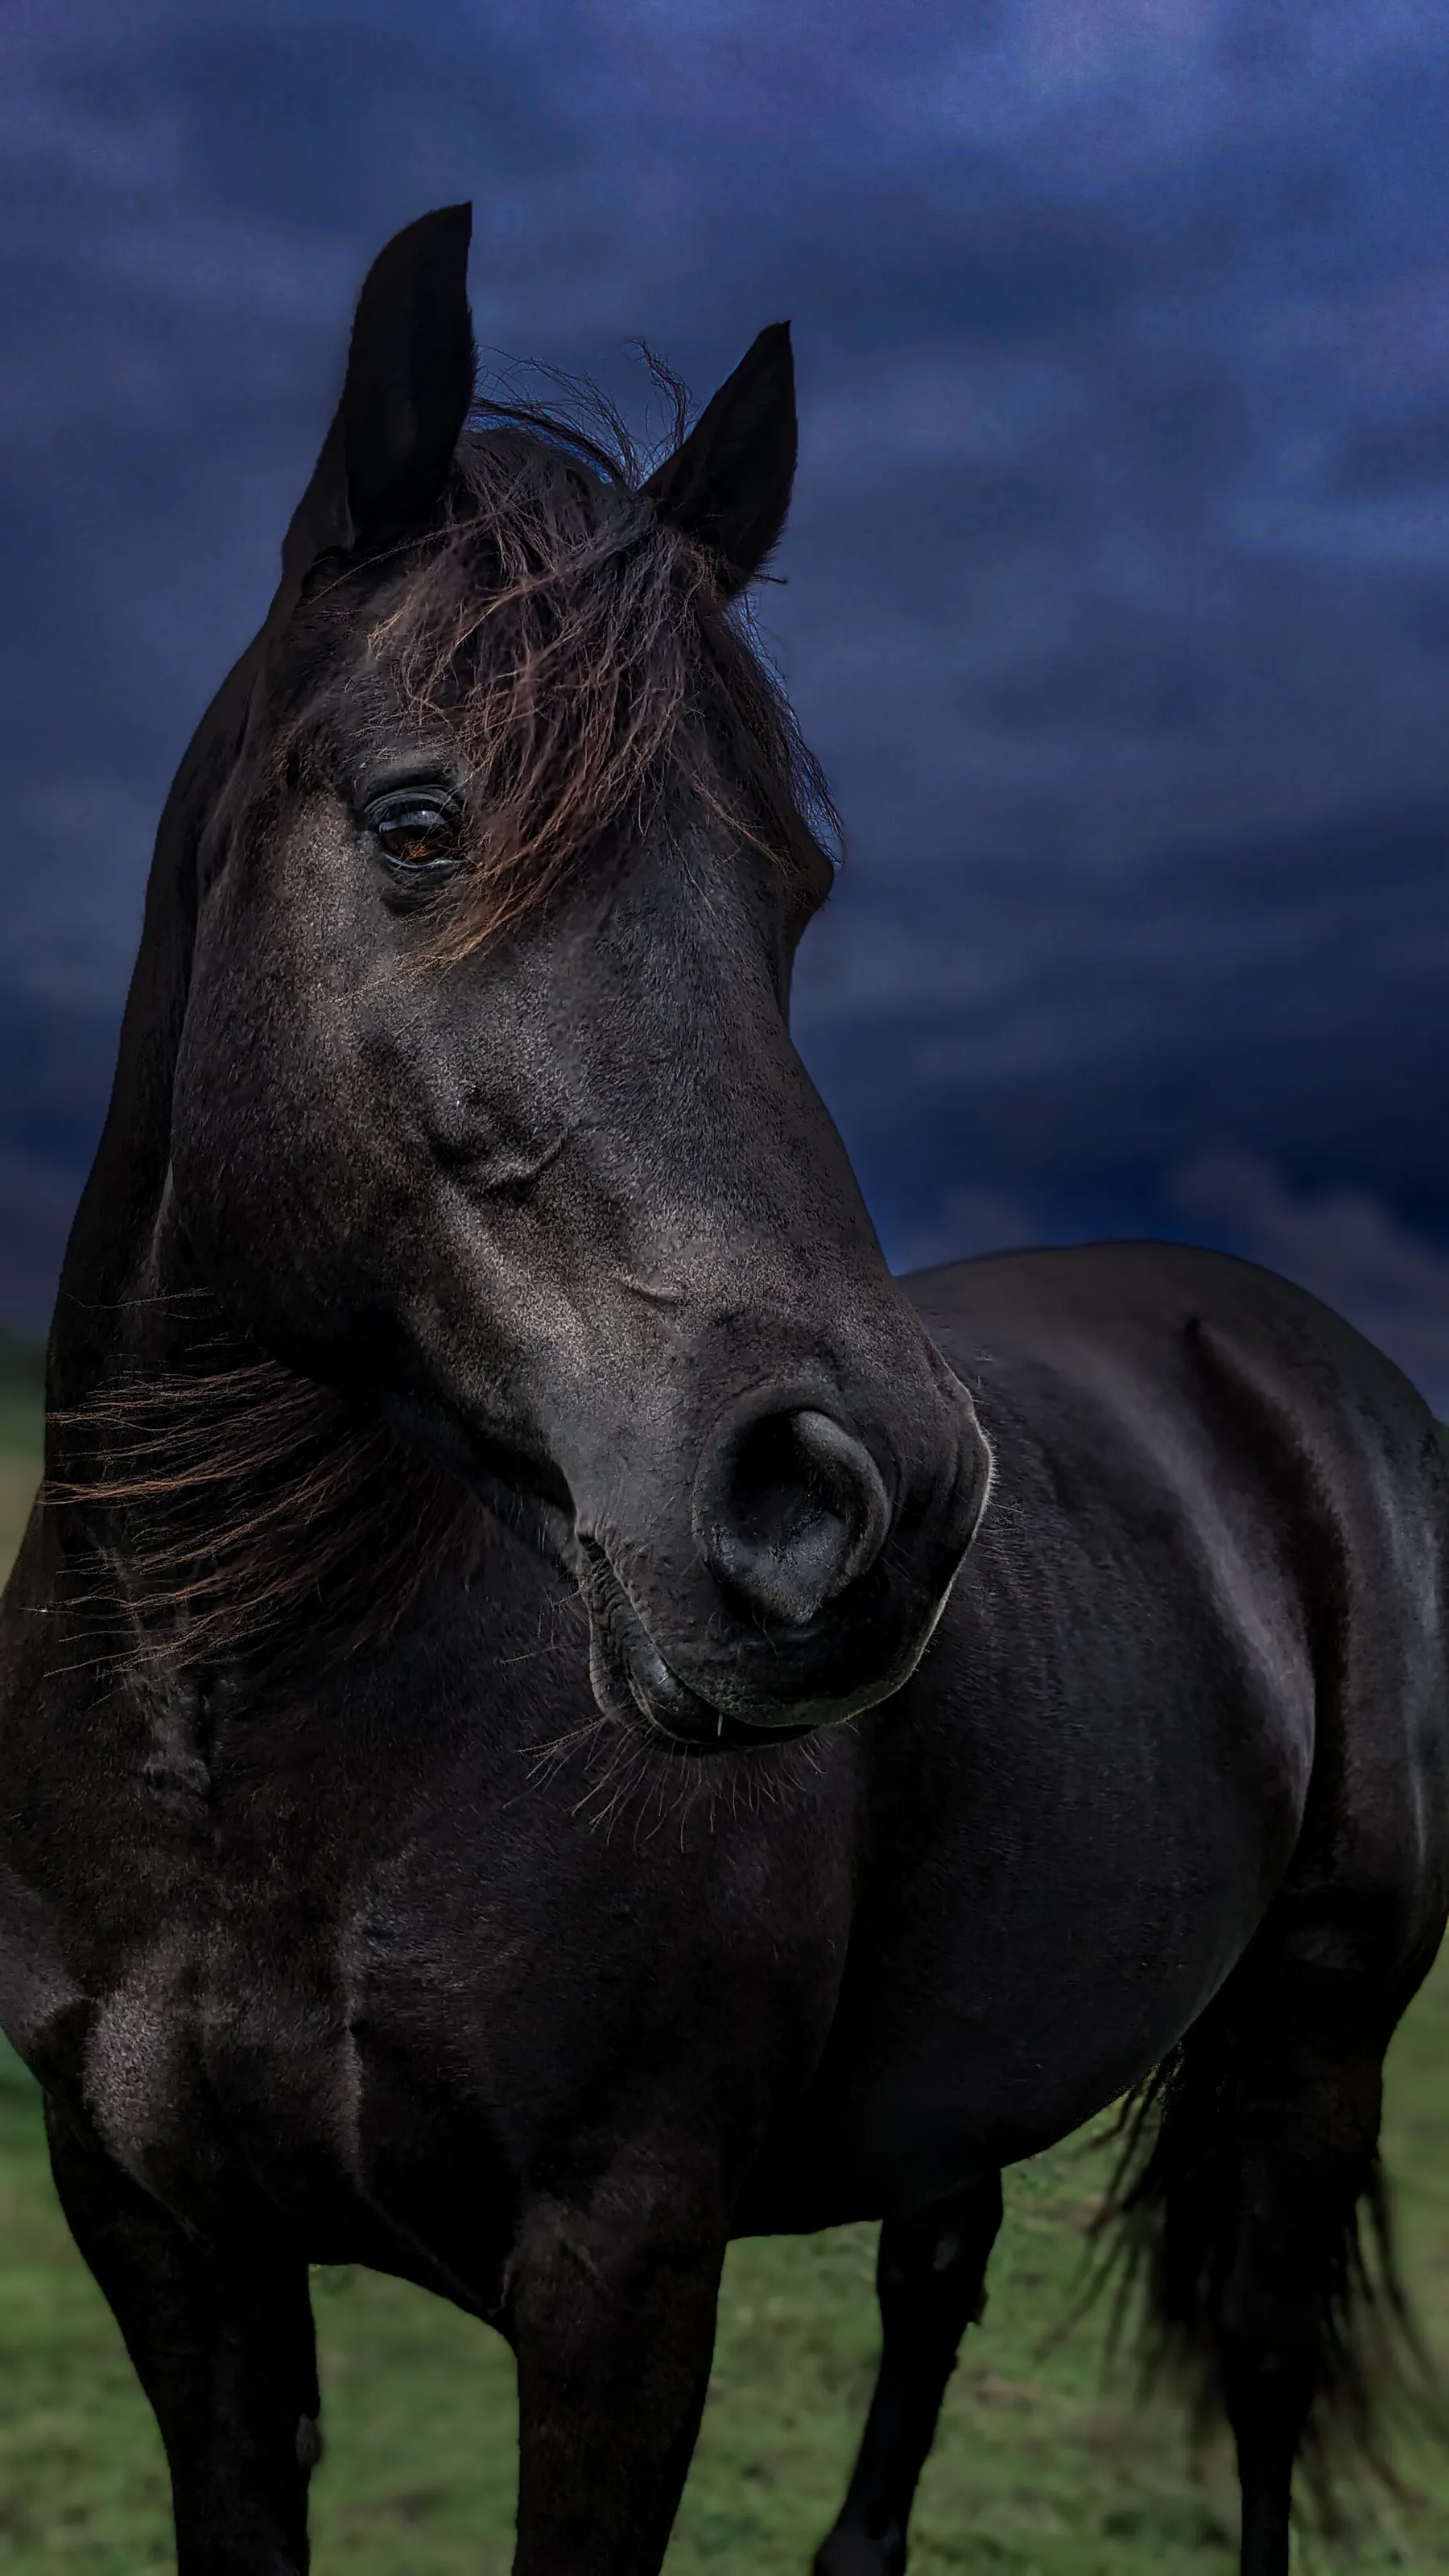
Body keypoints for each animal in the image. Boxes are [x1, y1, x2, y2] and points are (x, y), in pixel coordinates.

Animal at [1, 202, 1446, 2576]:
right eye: (419, 824)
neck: (246, 1740)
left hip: (1326, 2017)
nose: (865, 1510)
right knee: (939, 2282)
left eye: (797, 892)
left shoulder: (618, 2275)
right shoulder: (162, 2237)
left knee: (1261, 2368)